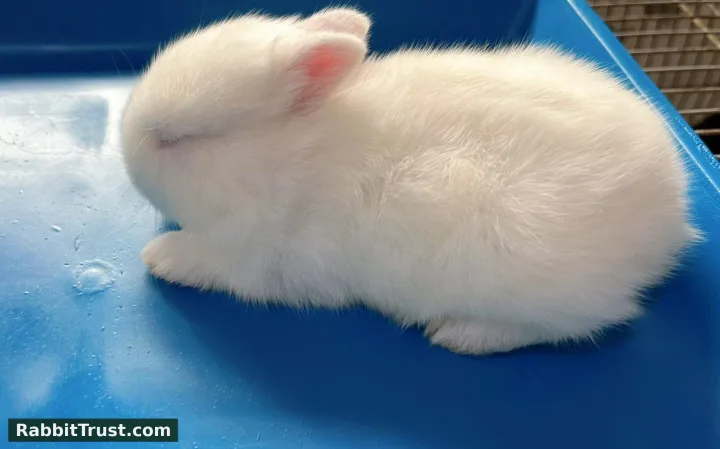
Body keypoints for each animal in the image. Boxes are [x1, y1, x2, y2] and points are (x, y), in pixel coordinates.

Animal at [120, 7, 698, 356]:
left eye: (177, 139)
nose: (127, 153)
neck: (286, 159)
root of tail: (670, 221)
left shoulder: (260, 261)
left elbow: (206, 261)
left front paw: (160, 256)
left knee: (589, 321)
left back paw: (462, 335)